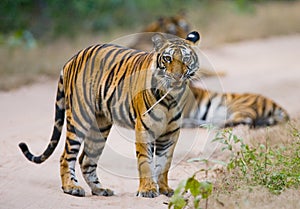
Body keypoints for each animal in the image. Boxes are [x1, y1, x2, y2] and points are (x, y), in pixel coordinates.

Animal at [18, 31, 202, 198]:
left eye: (186, 59)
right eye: (168, 58)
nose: (177, 76)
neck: (171, 96)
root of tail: (72, 58)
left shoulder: (170, 133)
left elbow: (164, 163)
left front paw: (164, 189)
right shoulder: (144, 128)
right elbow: (145, 161)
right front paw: (148, 189)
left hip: (100, 127)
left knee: (86, 160)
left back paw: (100, 190)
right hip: (79, 118)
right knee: (66, 156)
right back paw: (71, 187)